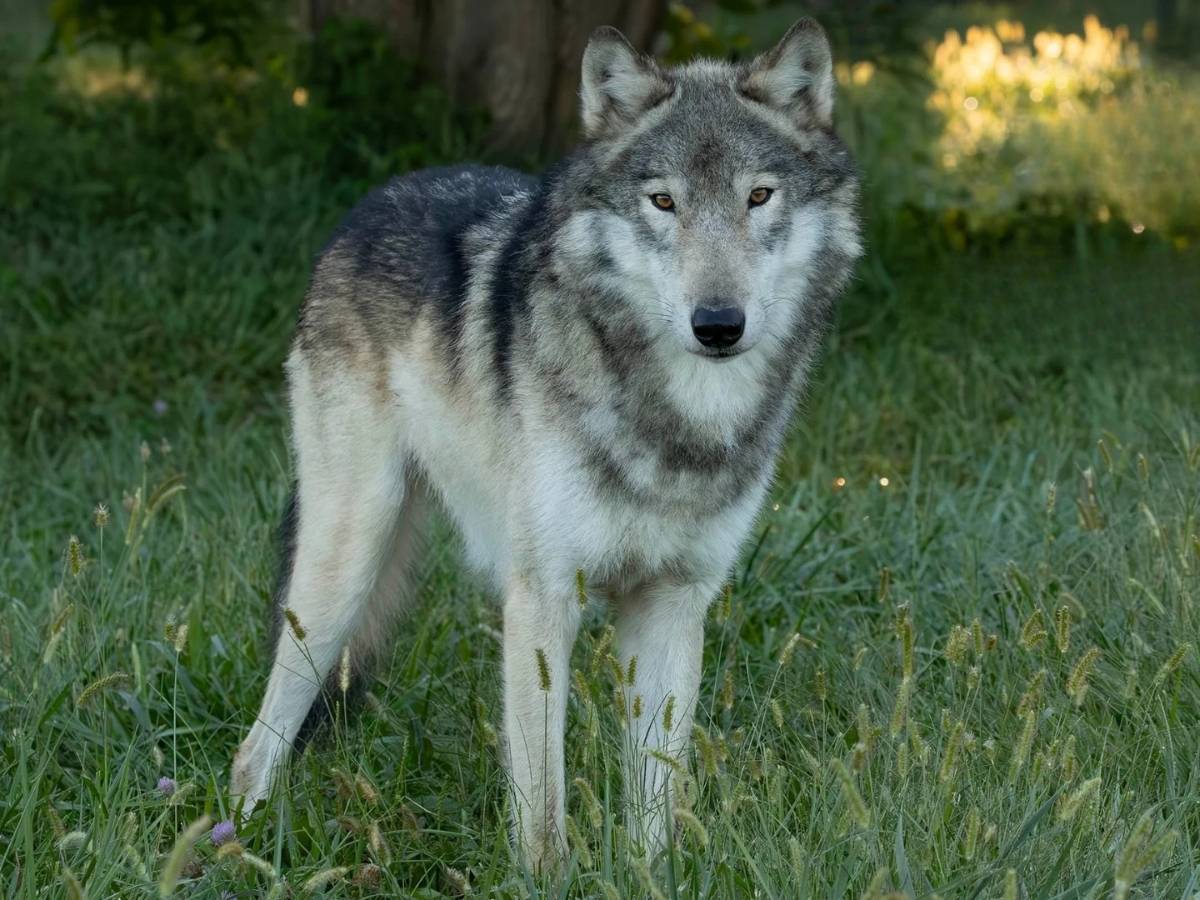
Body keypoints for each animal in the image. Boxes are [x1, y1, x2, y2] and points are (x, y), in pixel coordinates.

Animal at [230, 18, 861, 870]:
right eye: (663, 202)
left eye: (759, 197)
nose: (718, 324)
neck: (677, 425)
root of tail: (370, 203)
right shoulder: (542, 598)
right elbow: (542, 806)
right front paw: (547, 877)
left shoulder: (674, 601)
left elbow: (655, 797)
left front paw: (648, 878)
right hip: (343, 565)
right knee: (258, 743)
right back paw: (239, 847)